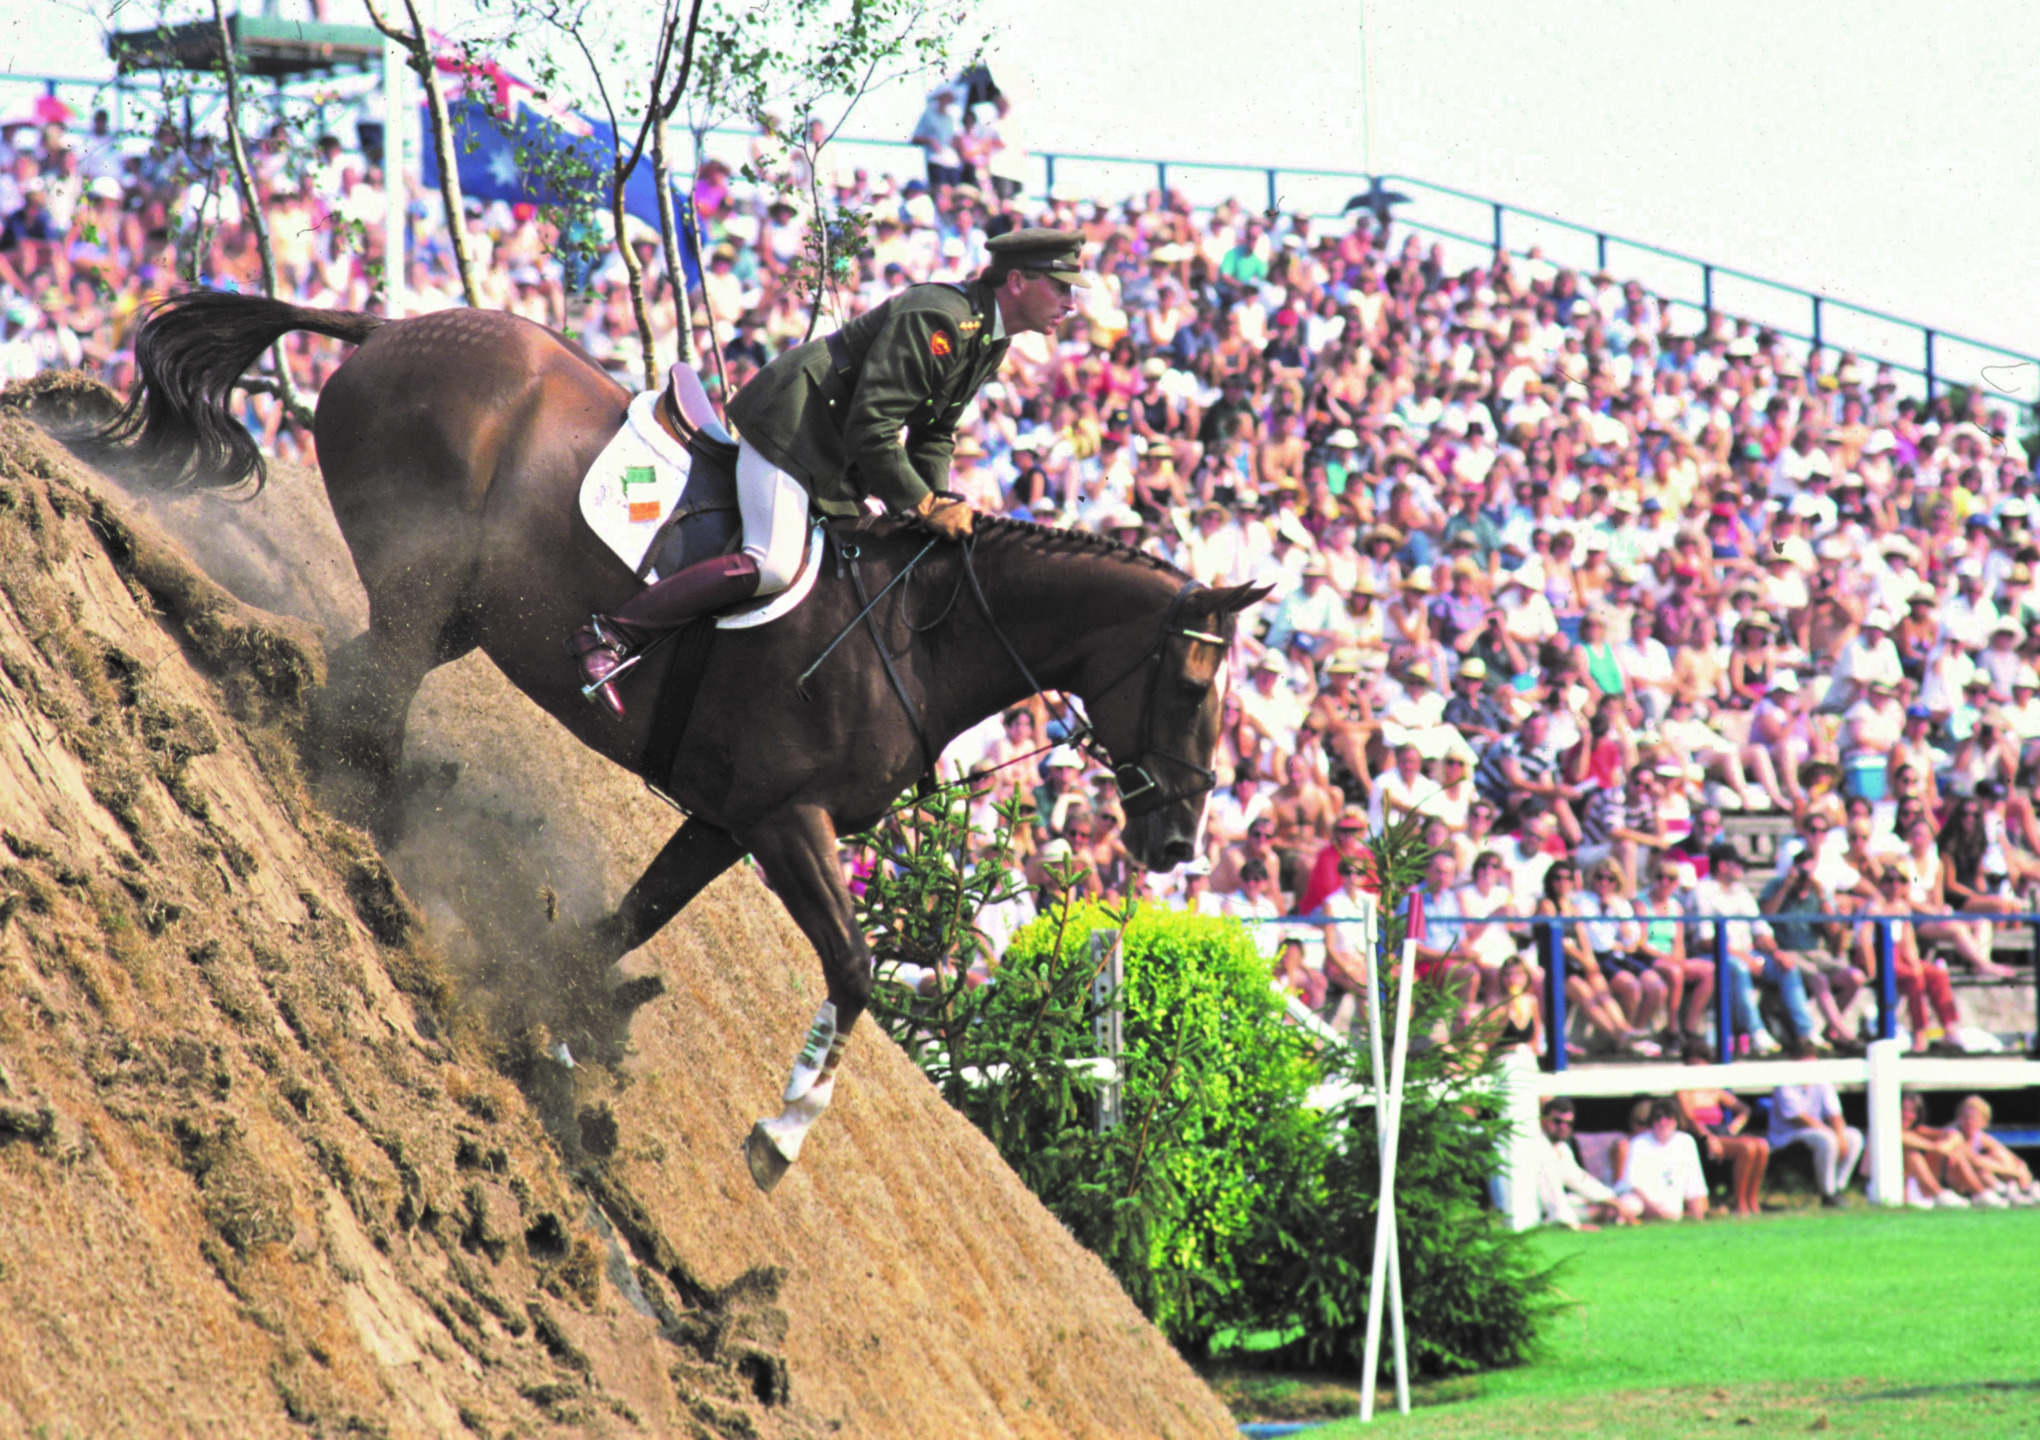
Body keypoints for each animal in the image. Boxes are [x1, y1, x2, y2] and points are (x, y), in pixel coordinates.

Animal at [95, 293, 1256, 1191]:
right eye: (1193, 679)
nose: (1177, 843)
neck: (913, 637)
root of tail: (395, 327)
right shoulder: (787, 822)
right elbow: (854, 968)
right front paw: (780, 1136)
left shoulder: (726, 822)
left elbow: (630, 923)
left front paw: (556, 1016)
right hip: (420, 588)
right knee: (368, 709)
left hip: (450, 613)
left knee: (362, 693)